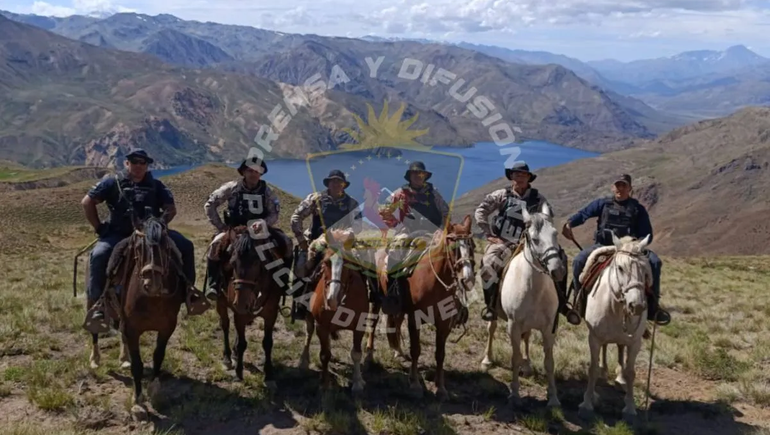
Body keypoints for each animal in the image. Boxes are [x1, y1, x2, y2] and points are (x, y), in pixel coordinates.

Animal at [213, 221, 292, 388]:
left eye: (257, 262)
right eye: (232, 262)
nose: (242, 303)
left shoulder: (270, 315)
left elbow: (267, 343)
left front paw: (268, 373)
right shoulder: (239, 314)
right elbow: (242, 343)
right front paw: (238, 373)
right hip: (221, 303)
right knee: (225, 326)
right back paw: (228, 357)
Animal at [296, 230, 372, 394]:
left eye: (348, 263)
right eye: (326, 262)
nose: (332, 299)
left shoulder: (359, 326)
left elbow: (356, 353)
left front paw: (357, 382)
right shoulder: (322, 327)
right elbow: (324, 355)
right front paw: (324, 384)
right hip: (310, 318)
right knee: (308, 333)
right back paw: (303, 360)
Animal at [376, 216, 476, 400]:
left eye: (472, 245)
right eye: (454, 248)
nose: (468, 279)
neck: (434, 281)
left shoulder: (444, 324)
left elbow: (440, 354)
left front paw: (441, 388)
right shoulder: (414, 318)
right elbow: (416, 350)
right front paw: (415, 384)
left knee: (396, 324)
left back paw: (398, 351)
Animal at [476, 204, 568, 408]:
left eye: (555, 233)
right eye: (534, 239)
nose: (558, 271)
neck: (535, 288)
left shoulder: (549, 328)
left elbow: (549, 362)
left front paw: (554, 398)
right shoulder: (514, 326)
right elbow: (515, 358)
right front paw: (515, 394)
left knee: (527, 338)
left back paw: (527, 365)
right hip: (495, 313)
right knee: (491, 329)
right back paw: (487, 359)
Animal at [576, 233, 648, 424]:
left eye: (645, 271)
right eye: (621, 268)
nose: (637, 306)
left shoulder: (635, 342)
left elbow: (631, 373)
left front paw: (630, 408)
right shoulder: (594, 337)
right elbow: (592, 369)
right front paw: (587, 403)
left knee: (619, 347)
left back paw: (619, 377)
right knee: (606, 346)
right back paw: (604, 371)